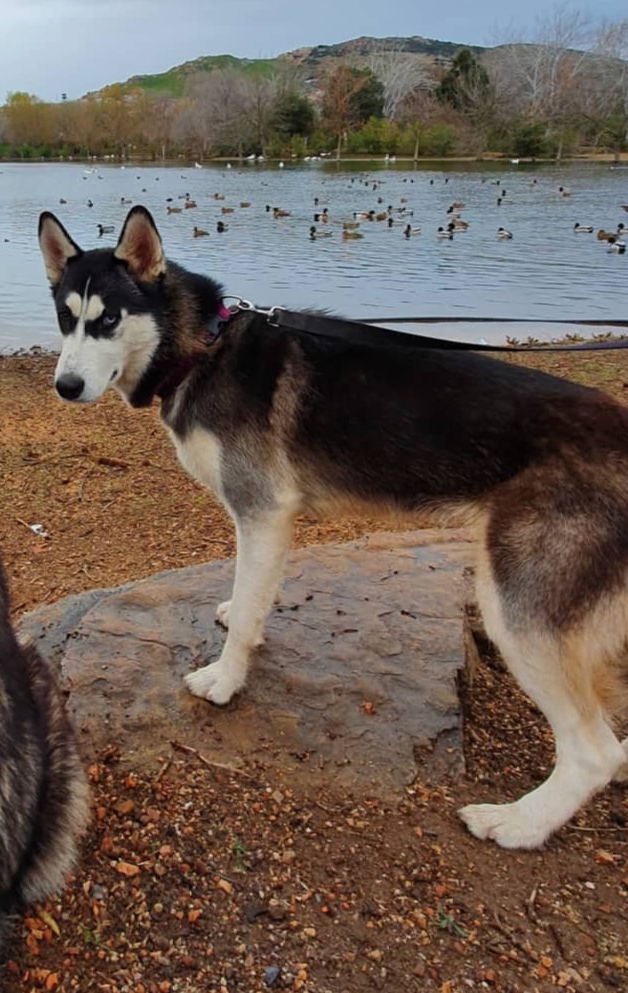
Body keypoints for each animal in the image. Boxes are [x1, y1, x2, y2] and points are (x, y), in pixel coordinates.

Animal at [38, 205, 628, 848]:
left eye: (109, 319)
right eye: (66, 317)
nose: (65, 387)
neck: (206, 347)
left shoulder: (262, 511)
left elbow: (245, 614)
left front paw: (225, 679)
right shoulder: (273, 521)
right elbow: (254, 598)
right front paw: (240, 619)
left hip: (516, 612)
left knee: (596, 754)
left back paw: (517, 824)